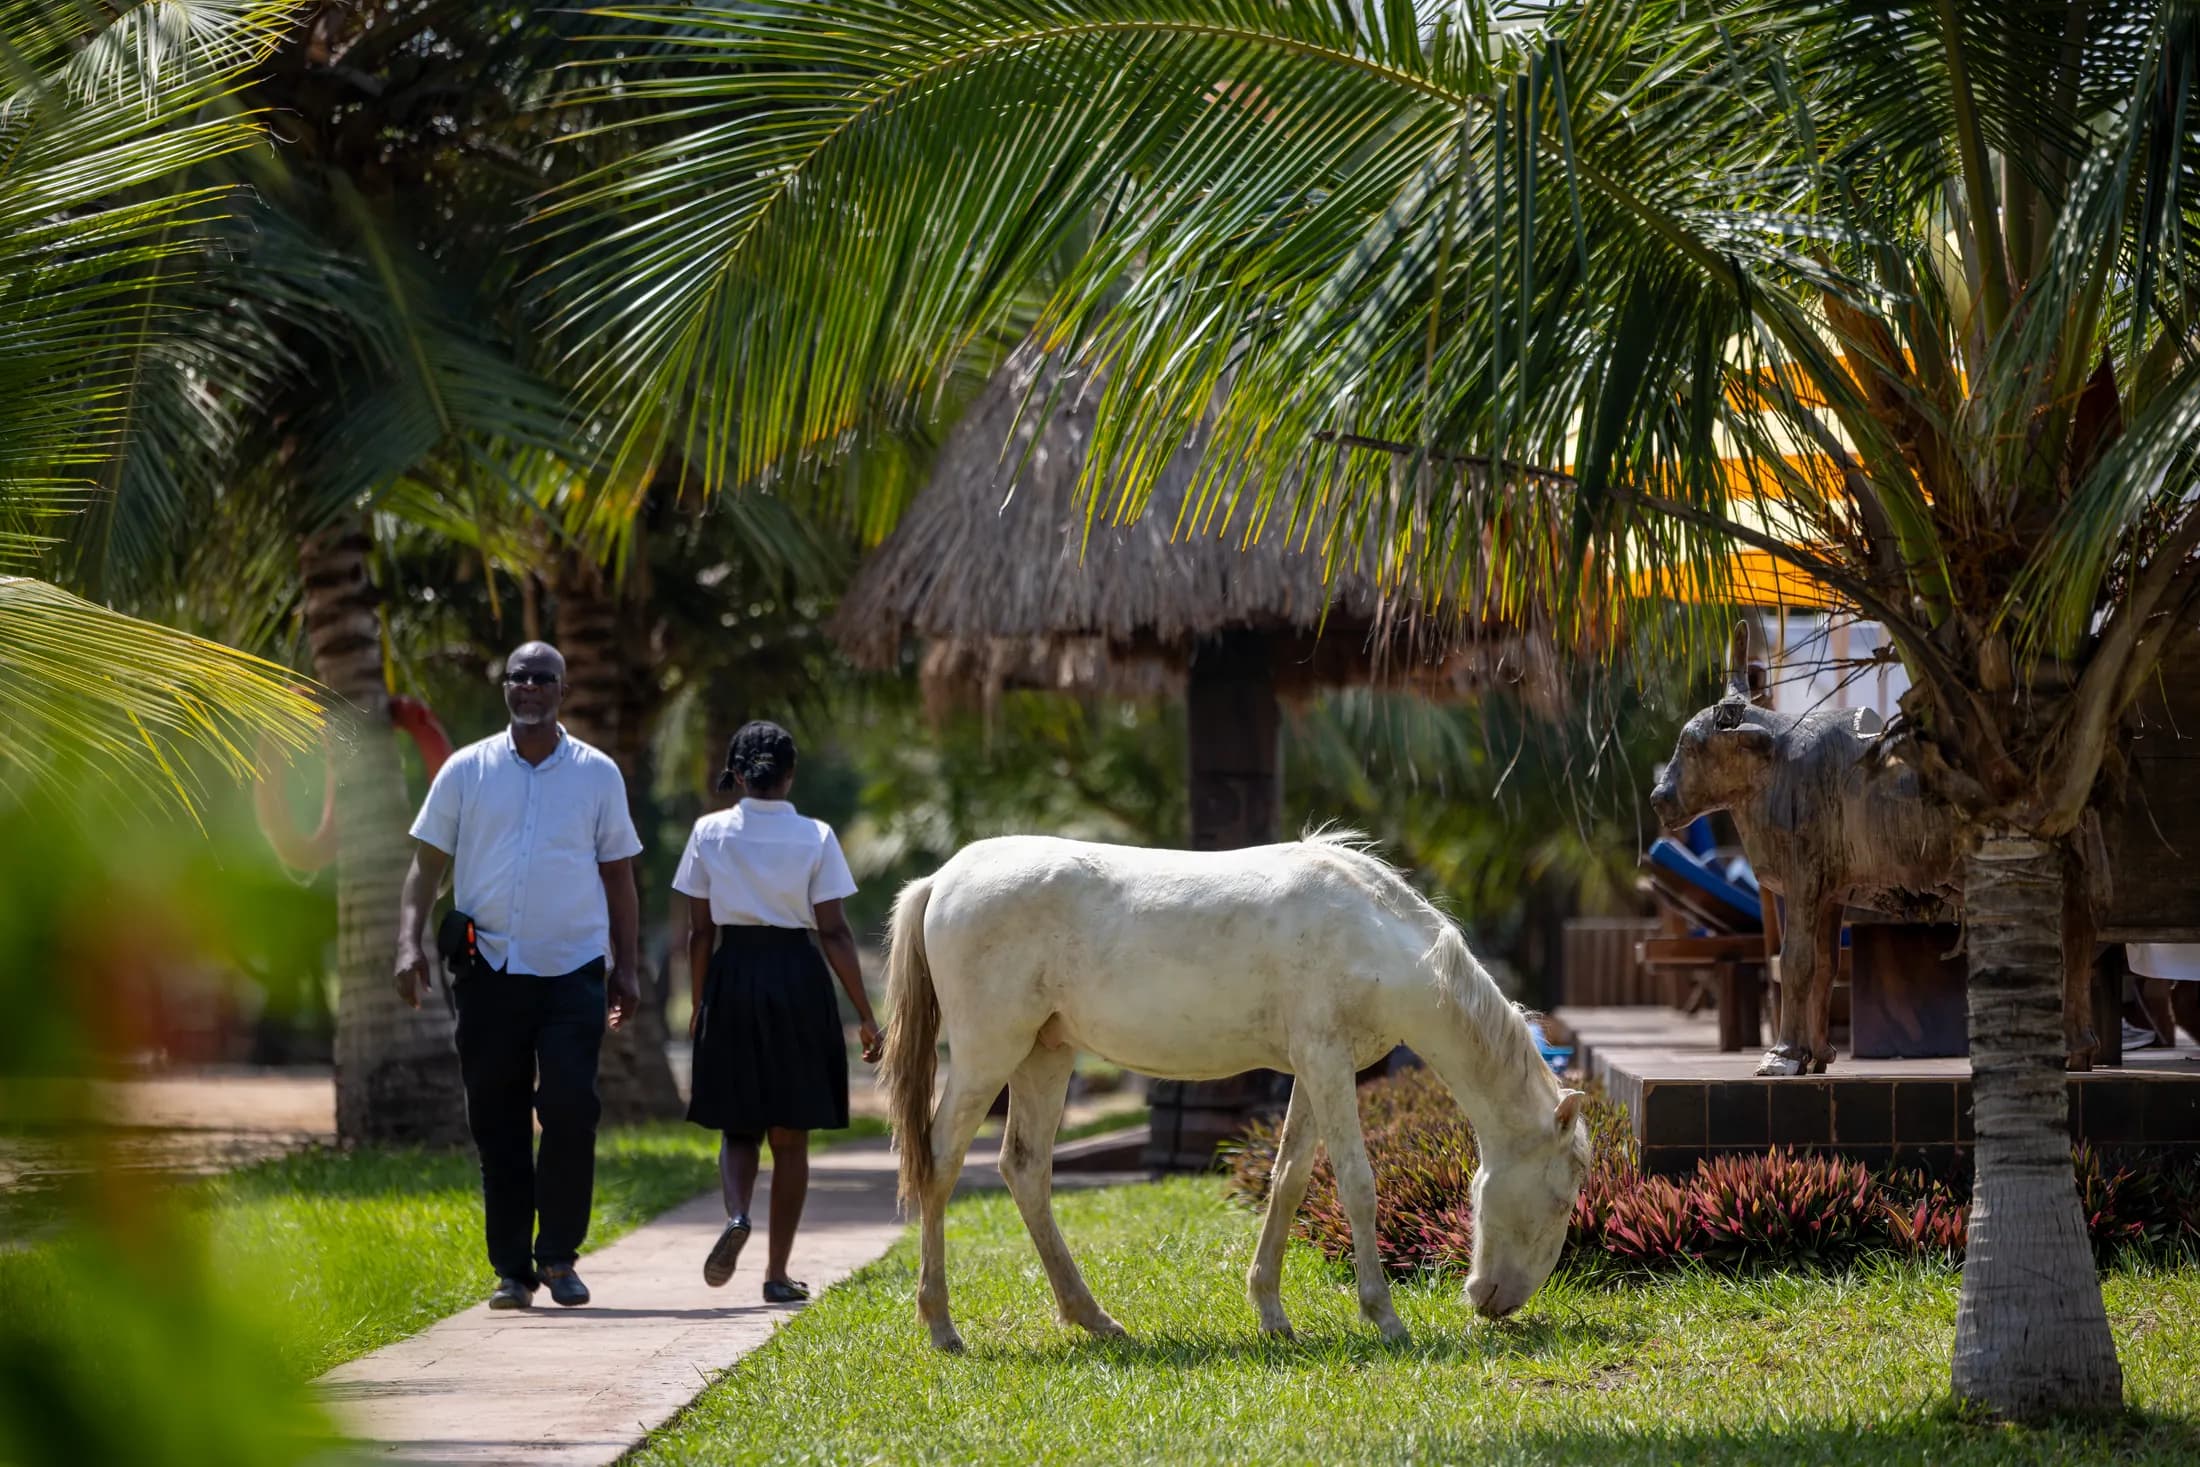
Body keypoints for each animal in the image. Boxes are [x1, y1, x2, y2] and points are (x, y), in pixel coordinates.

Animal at [878, 830, 1591, 1352]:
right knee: (939, 1163)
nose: (1498, 1303)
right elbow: (1357, 1184)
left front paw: (1272, 1313)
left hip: (1043, 1057)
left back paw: (1094, 1319)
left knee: (1024, 1170)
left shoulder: (1315, 1067)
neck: (1376, 933)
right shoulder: (1327, 1063)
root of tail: (943, 879)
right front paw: (1384, 1317)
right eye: (1561, 1199)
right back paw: (942, 1327)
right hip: (987, 1054)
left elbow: (1292, 1178)